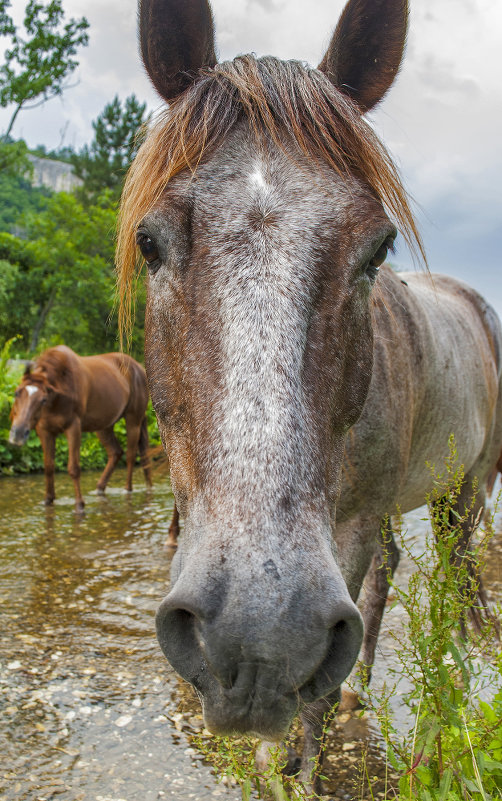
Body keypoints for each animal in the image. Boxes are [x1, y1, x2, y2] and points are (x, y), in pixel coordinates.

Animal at [8, 342, 151, 506]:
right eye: (16, 393)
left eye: (43, 399)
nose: (18, 433)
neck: (57, 397)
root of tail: (139, 368)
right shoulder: (45, 431)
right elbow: (49, 467)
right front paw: (48, 500)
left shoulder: (73, 428)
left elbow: (74, 468)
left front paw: (79, 504)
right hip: (104, 426)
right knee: (116, 452)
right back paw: (100, 489)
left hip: (133, 420)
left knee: (130, 456)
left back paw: (128, 490)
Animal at [114, 0, 502, 788]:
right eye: (150, 242)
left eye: (378, 249)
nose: (258, 637)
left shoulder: (350, 528)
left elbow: (313, 697)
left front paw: (306, 771)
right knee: (391, 575)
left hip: (465, 492)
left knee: (452, 586)